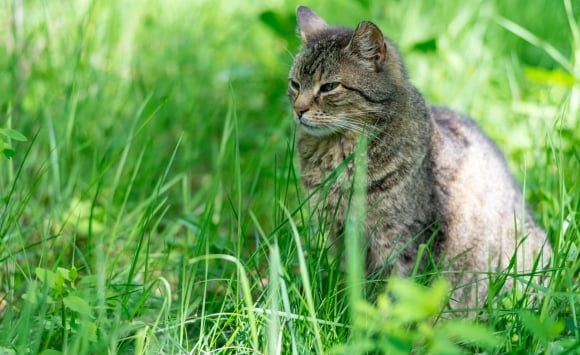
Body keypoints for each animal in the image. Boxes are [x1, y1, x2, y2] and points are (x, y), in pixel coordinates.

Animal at [288, 4, 552, 312]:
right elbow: (353, 286)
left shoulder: (403, 239)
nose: (298, 109)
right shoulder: (341, 235)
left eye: (329, 87)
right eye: (294, 84)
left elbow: (396, 294)